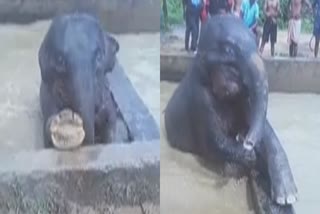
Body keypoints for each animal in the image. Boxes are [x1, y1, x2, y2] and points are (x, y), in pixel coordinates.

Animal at [165, 15, 298, 209]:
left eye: (256, 41)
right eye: (229, 50)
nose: (247, 141)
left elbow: (265, 128)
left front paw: (287, 198)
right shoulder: (199, 100)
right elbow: (215, 142)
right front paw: (249, 155)